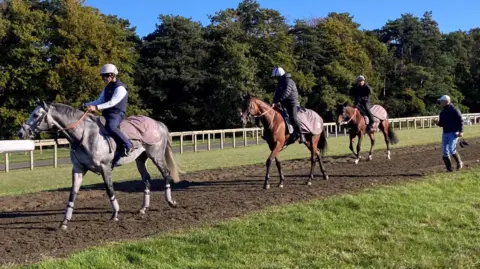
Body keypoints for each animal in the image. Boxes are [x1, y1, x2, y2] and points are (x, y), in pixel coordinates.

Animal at [17, 99, 181, 229]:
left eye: (36, 115)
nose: (20, 133)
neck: (84, 135)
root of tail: (158, 123)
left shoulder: (105, 167)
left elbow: (109, 189)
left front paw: (115, 214)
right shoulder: (78, 169)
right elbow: (72, 194)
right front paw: (65, 221)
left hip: (156, 156)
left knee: (166, 174)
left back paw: (171, 201)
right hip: (141, 160)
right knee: (146, 179)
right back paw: (143, 208)